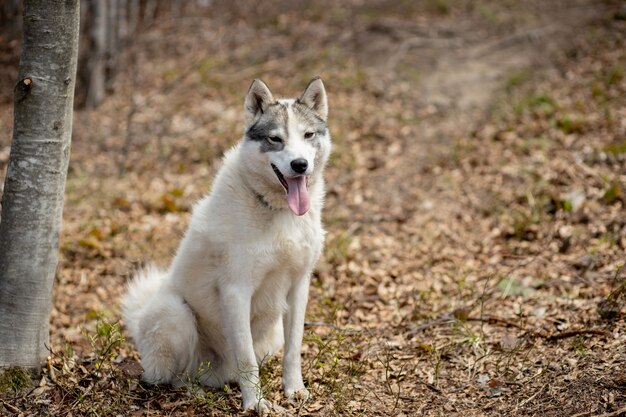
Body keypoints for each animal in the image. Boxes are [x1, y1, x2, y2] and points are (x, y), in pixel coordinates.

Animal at [119, 76, 330, 412]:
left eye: (308, 135)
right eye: (275, 139)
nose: (300, 165)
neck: (279, 211)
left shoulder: (299, 287)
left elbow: (293, 350)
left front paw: (294, 391)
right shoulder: (236, 291)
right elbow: (247, 360)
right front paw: (256, 404)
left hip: (270, 334)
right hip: (175, 313)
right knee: (170, 379)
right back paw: (194, 393)